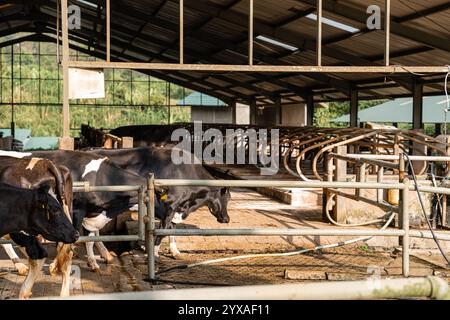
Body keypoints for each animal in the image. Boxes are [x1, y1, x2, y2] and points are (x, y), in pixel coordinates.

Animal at [87, 147, 232, 258]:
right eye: (226, 197)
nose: (226, 219)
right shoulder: (170, 206)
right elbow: (162, 231)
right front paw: (153, 254)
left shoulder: (175, 210)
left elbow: (171, 230)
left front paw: (175, 252)